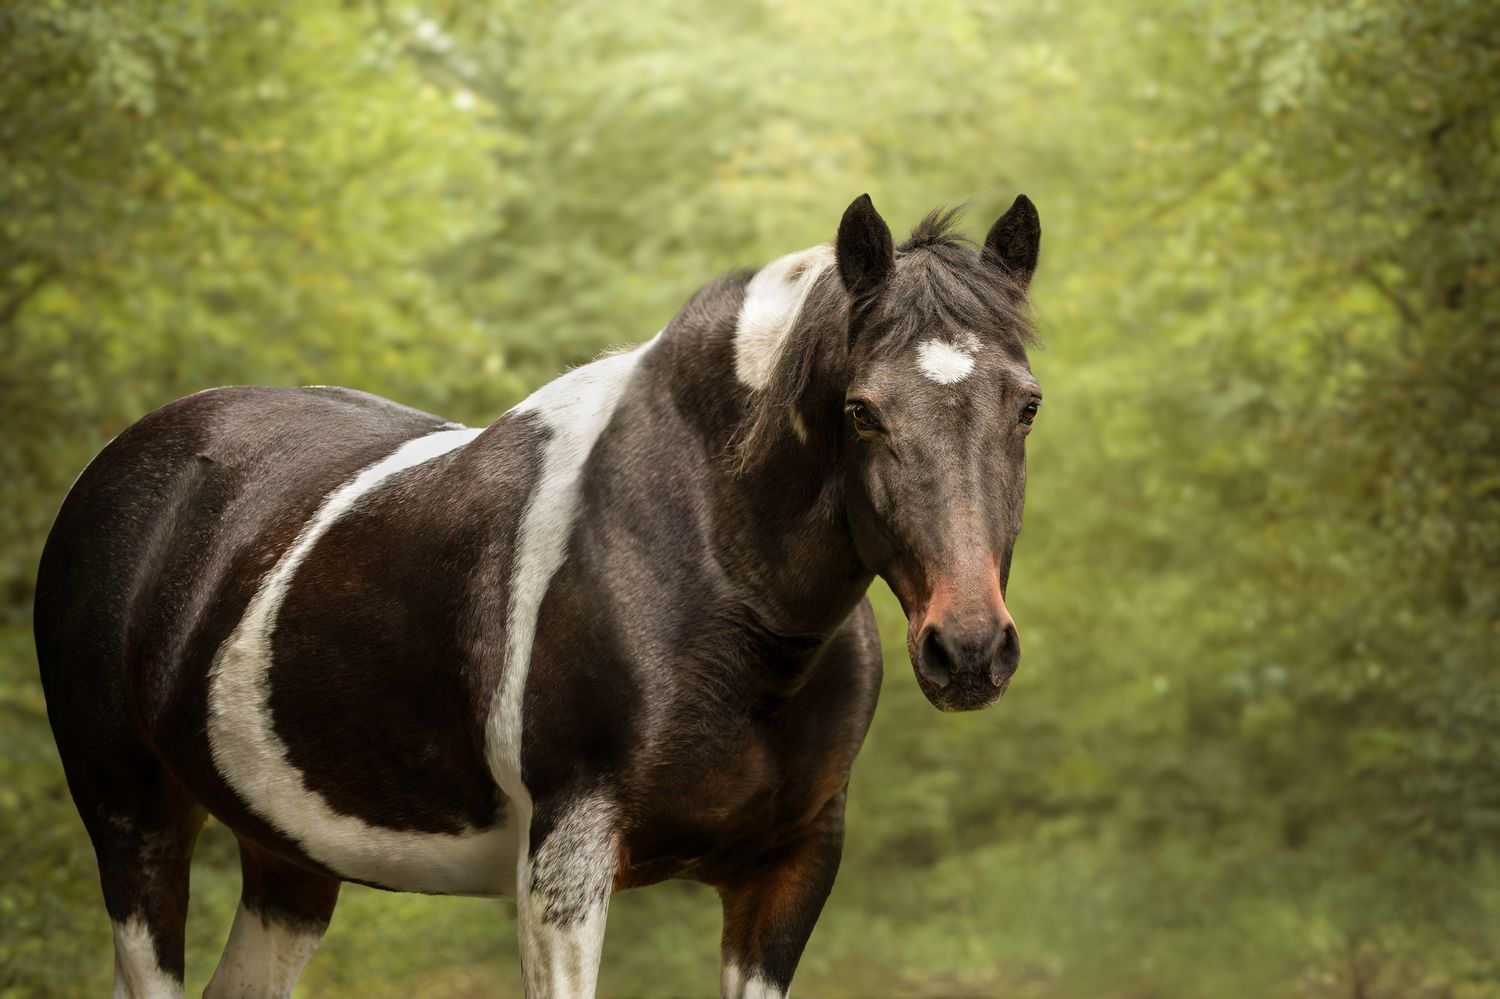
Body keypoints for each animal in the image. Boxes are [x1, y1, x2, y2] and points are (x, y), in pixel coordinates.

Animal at [34, 192, 1043, 998]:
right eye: (861, 411)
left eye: (1026, 403)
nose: (968, 650)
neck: (722, 590)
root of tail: (121, 463)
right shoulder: (567, 864)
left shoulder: (790, 869)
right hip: (133, 819)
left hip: (288, 859)